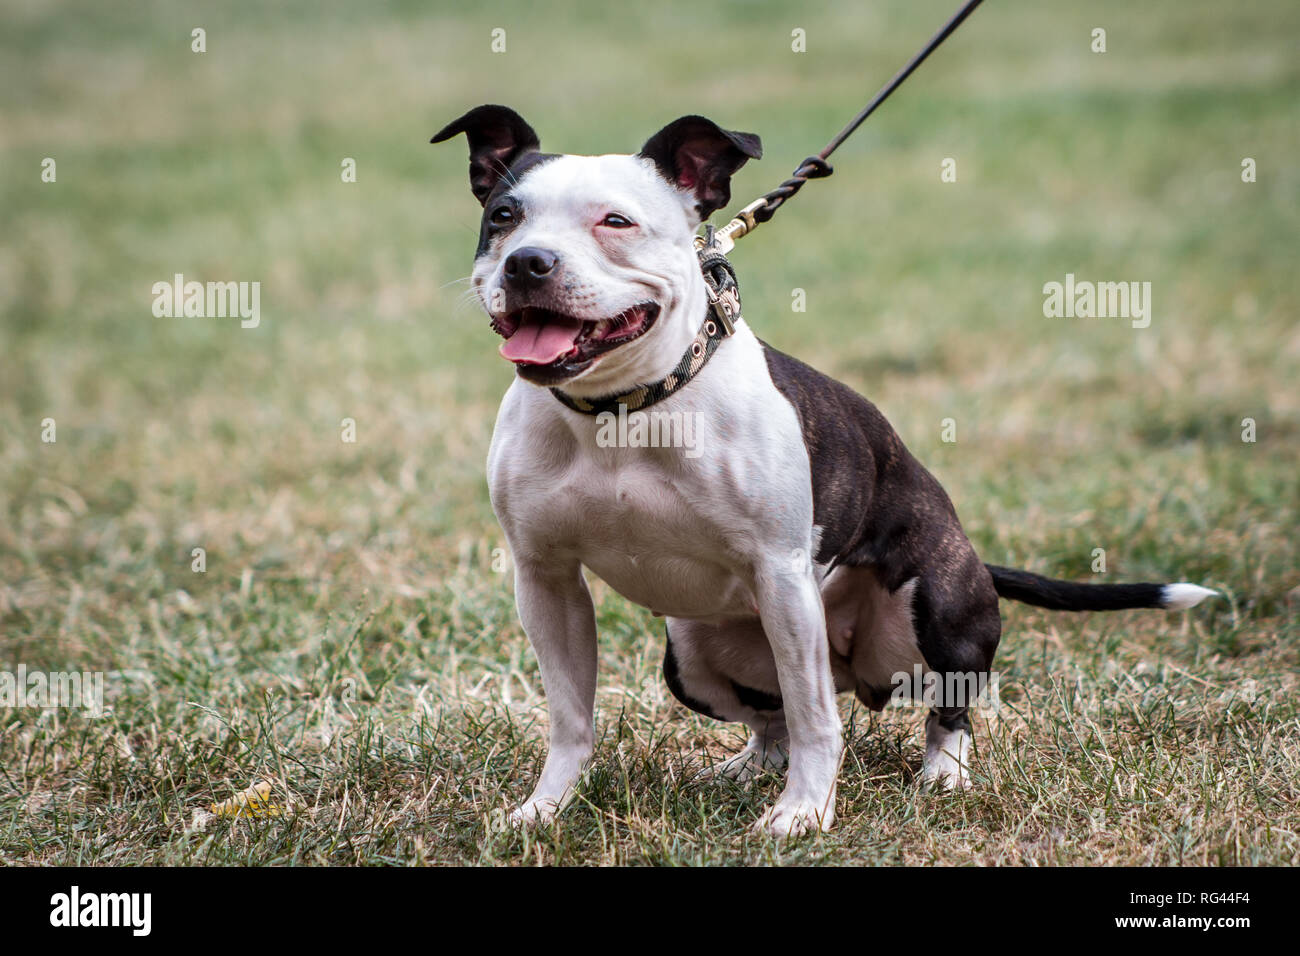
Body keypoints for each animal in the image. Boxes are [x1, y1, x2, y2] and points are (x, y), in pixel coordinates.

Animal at [434, 106, 1216, 837]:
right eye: (504, 216)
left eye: (615, 221)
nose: (527, 262)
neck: (624, 409)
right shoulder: (546, 578)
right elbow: (571, 718)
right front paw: (545, 810)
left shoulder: (781, 573)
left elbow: (817, 720)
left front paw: (803, 814)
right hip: (688, 652)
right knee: (771, 715)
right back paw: (743, 768)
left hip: (936, 607)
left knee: (939, 705)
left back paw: (943, 773)